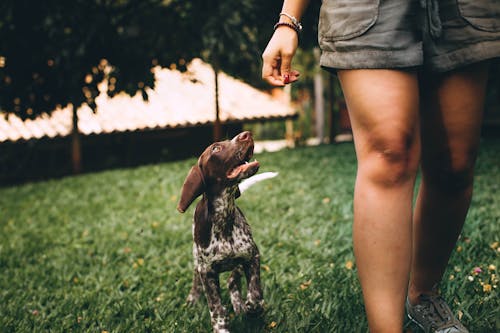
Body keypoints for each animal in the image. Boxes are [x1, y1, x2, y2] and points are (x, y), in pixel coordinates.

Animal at [180, 131, 266, 332]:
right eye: (216, 148)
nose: (246, 134)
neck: (224, 218)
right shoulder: (207, 272)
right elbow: (217, 308)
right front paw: (221, 327)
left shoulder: (252, 256)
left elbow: (255, 293)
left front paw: (251, 308)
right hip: (197, 259)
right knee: (196, 280)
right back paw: (193, 299)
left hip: (237, 264)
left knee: (232, 281)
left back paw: (239, 304)